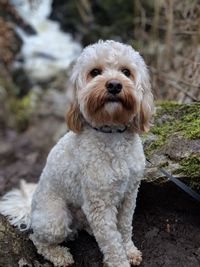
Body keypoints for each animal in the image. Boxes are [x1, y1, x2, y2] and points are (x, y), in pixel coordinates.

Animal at [0, 40, 154, 267]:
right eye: (95, 72)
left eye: (126, 72)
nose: (114, 85)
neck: (111, 133)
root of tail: (31, 209)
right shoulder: (99, 203)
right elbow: (111, 240)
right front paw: (120, 261)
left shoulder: (129, 194)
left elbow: (124, 227)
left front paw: (130, 250)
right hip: (55, 219)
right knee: (38, 239)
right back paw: (60, 255)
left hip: (83, 210)